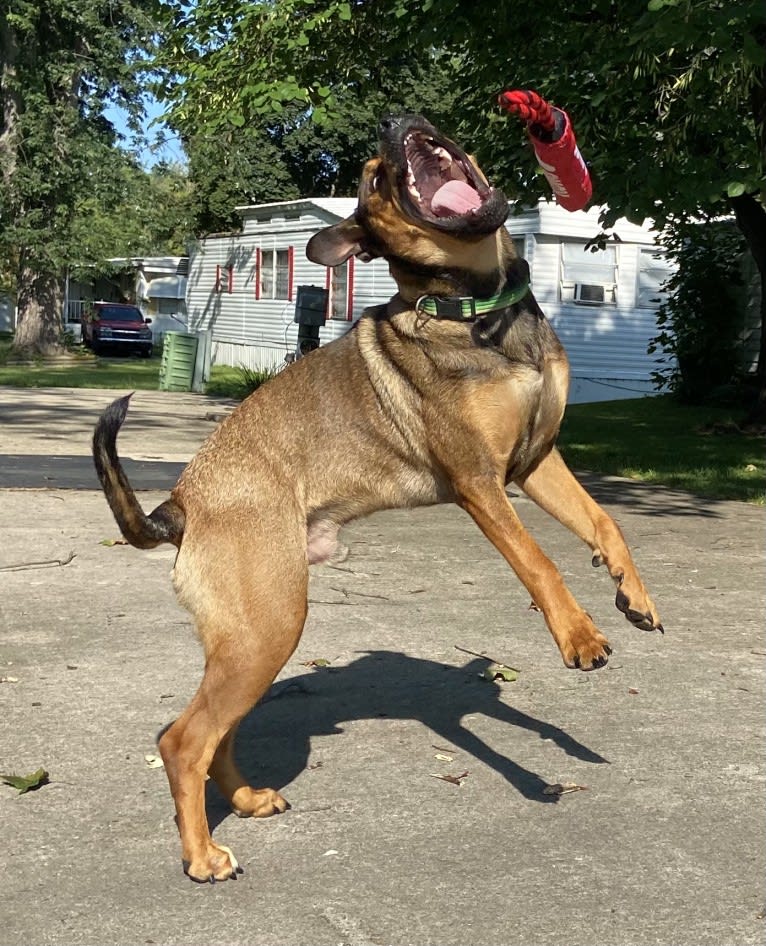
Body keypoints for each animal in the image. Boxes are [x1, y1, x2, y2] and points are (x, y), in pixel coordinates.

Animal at [93, 114, 664, 880]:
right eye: (372, 179)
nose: (401, 122)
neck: (478, 307)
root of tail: (182, 506)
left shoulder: (537, 462)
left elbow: (605, 524)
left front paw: (633, 597)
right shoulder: (480, 483)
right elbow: (539, 563)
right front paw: (577, 636)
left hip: (253, 640)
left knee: (213, 734)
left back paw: (245, 800)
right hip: (270, 626)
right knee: (182, 739)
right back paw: (203, 856)